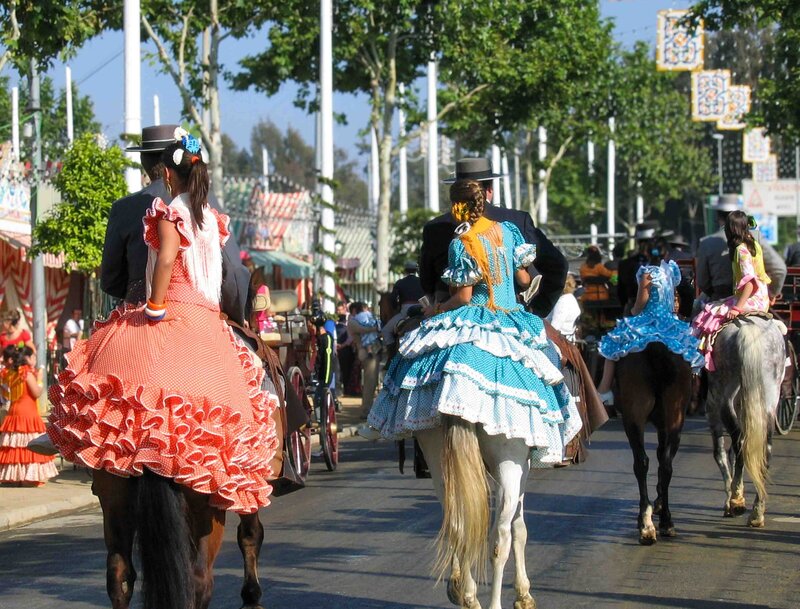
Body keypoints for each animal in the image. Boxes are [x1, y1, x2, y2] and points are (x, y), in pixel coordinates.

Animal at [412, 416, 536, 608]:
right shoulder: (523, 464)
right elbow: (519, 529)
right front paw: (523, 596)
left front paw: (455, 583)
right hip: (507, 460)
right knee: (499, 542)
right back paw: (492, 603)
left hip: (435, 453)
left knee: (456, 527)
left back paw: (468, 594)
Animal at [612, 340, 692, 544]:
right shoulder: (664, 424)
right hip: (671, 416)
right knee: (662, 465)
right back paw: (661, 522)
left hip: (635, 414)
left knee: (645, 463)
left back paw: (647, 524)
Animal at [704, 316, 784, 524]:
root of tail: (749, 328)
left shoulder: (712, 405)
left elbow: (720, 453)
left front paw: (729, 503)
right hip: (770, 397)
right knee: (764, 449)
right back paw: (757, 511)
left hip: (725, 396)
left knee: (739, 443)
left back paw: (736, 500)